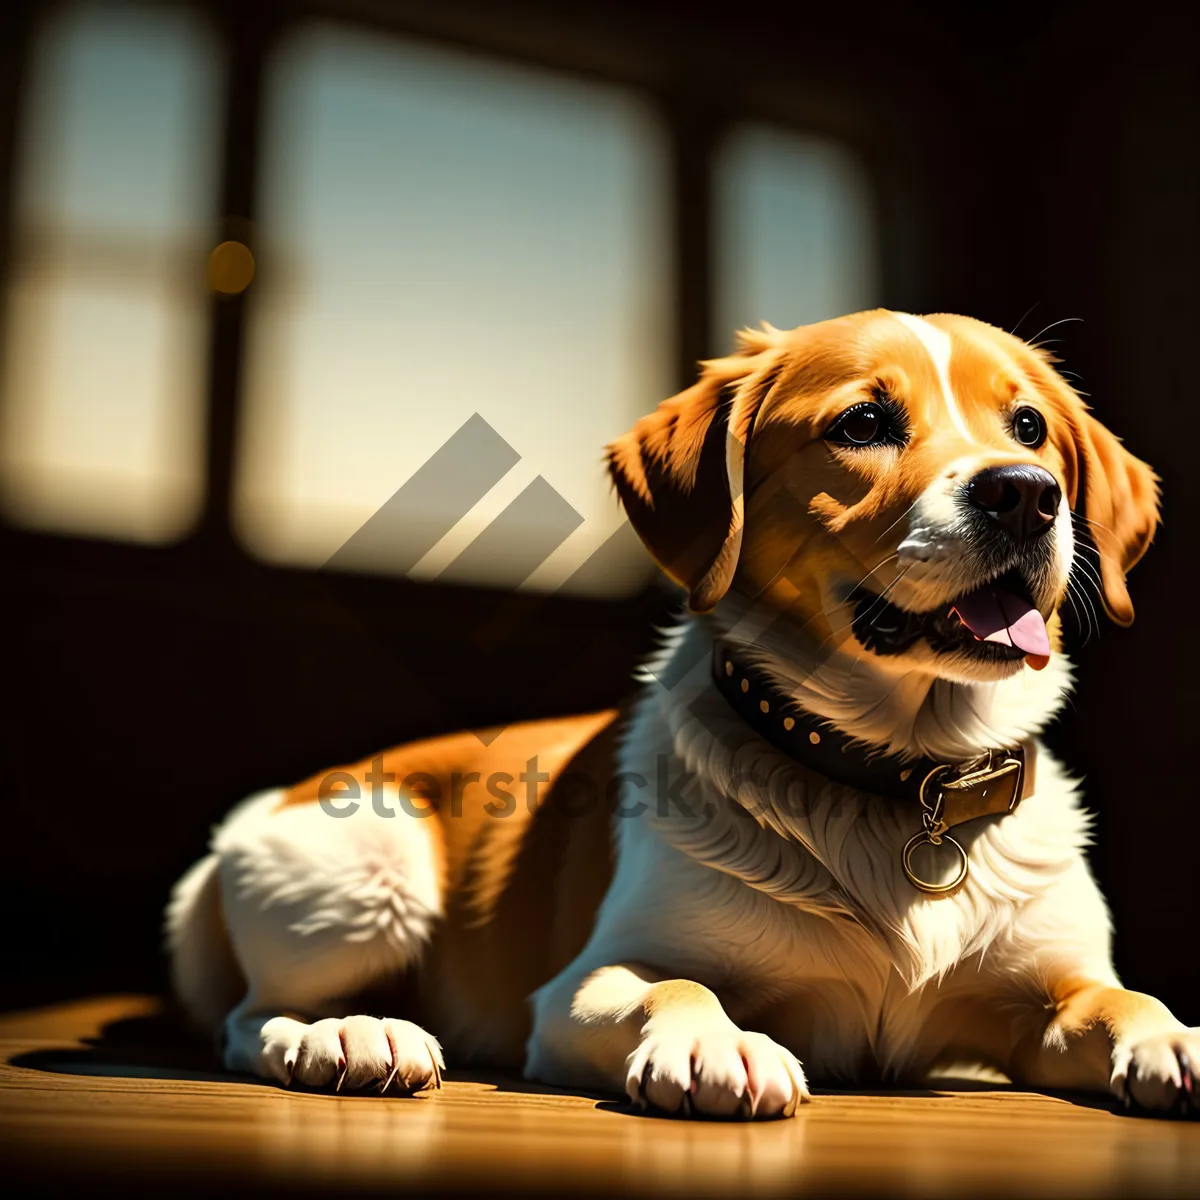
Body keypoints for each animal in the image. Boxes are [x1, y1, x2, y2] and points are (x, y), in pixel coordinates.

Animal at [166, 307, 1190, 1113]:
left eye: (1029, 427)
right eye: (864, 421)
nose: (1024, 494)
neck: (901, 778)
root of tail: (259, 812)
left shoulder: (1054, 988)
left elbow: (1123, 1001)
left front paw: (1171, 1038)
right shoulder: (586, 987)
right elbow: (682, 986)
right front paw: (716, 1043)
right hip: (373, 870)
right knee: (248, 1021)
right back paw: (345, 1036)